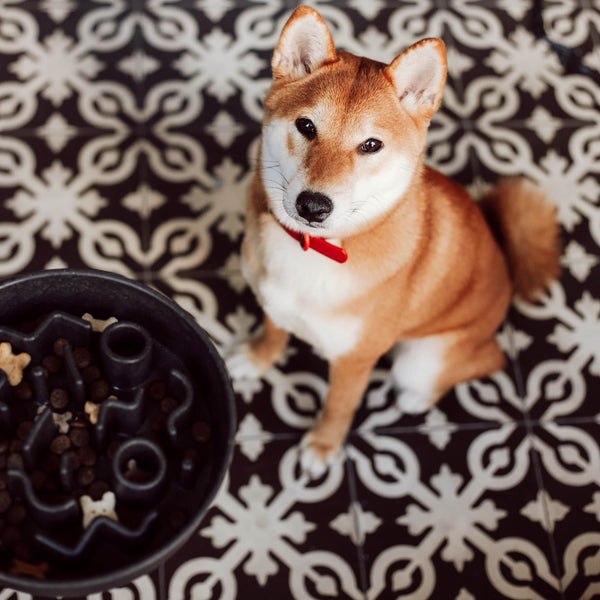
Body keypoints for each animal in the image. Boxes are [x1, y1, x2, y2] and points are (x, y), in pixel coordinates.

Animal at [226, 4, 564, 474]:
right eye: (306, 125)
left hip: (423, 358)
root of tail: (505, 262)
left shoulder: (355, 360)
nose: (313, 206)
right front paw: (259, 358)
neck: (318, 253)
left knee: (487, 360)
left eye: (371, 145)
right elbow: (275, 332)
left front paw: (323, 446)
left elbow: (339, 405)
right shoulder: (275, 302)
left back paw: (417, 397)